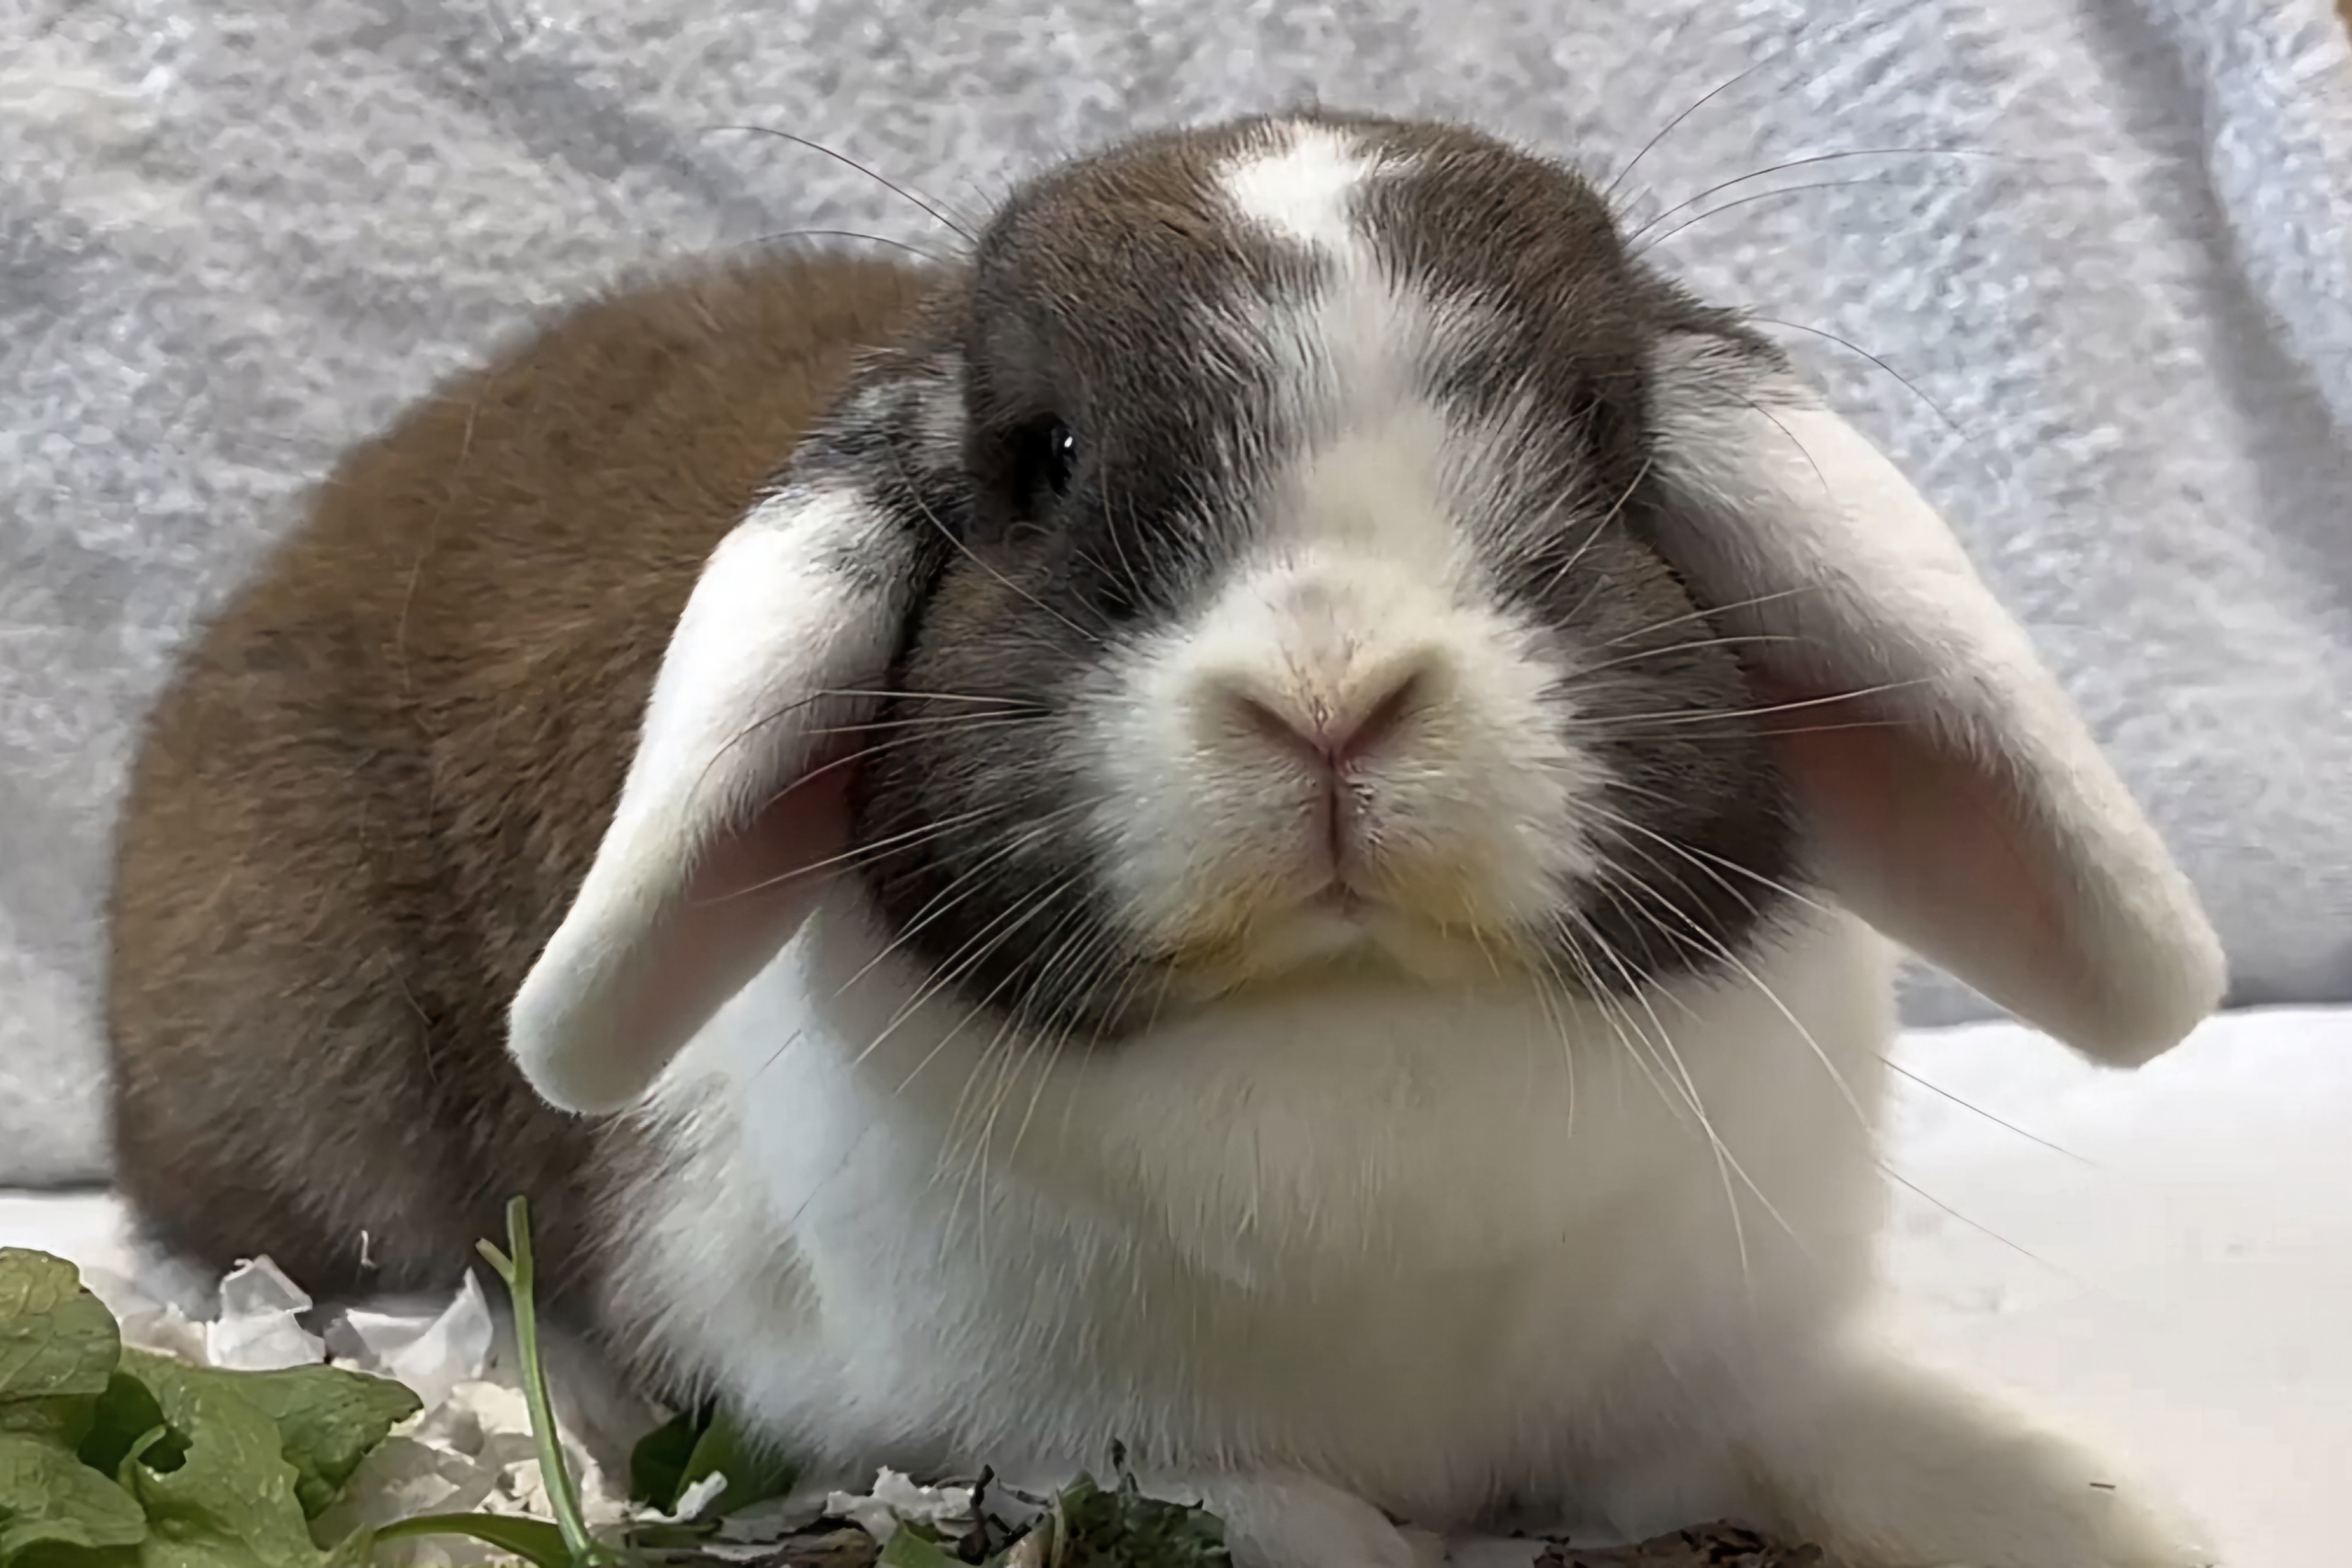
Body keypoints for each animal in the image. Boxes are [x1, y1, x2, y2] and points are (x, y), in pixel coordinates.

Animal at [108, 110, 2229, 1568]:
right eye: (1039, 464)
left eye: (1606, 439)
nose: (1331, 693)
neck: (1356, 1036)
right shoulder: (986, 1421)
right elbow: (1283, 1519)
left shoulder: (1695, 1380)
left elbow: (1880, 1437)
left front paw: (2097, 1507)